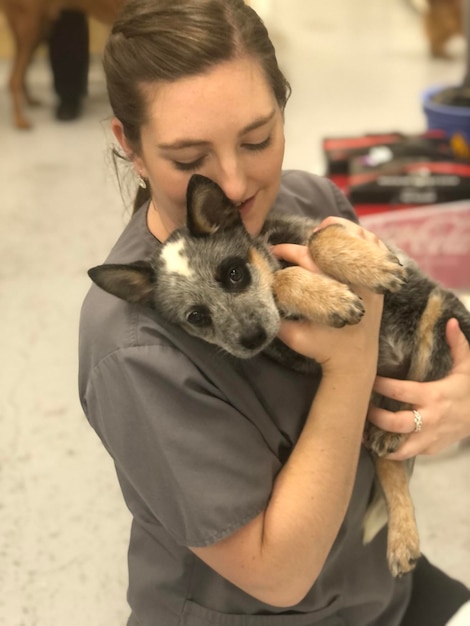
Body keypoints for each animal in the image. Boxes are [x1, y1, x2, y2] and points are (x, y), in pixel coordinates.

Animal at [0, 0, 126, 129]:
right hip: (29, 31)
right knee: (14, 78)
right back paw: (19, 120)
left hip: (39, 31)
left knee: (21, 74)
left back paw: (29, 101)